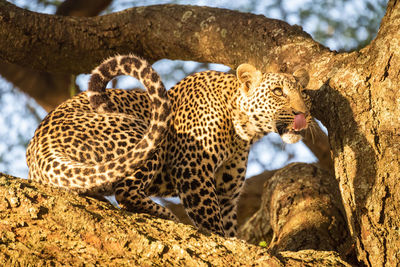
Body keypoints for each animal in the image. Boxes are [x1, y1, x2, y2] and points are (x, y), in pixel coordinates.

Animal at [26, 53, 312, 238]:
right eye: (277, 92)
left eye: (304, 94)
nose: (304, 114)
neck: (243, 133)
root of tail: (42, 147)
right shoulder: (193, 171)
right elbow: (212, 221)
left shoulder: (228, 195)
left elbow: (229, 226)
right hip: (145, 137)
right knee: (125, 192)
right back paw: (166, 216)